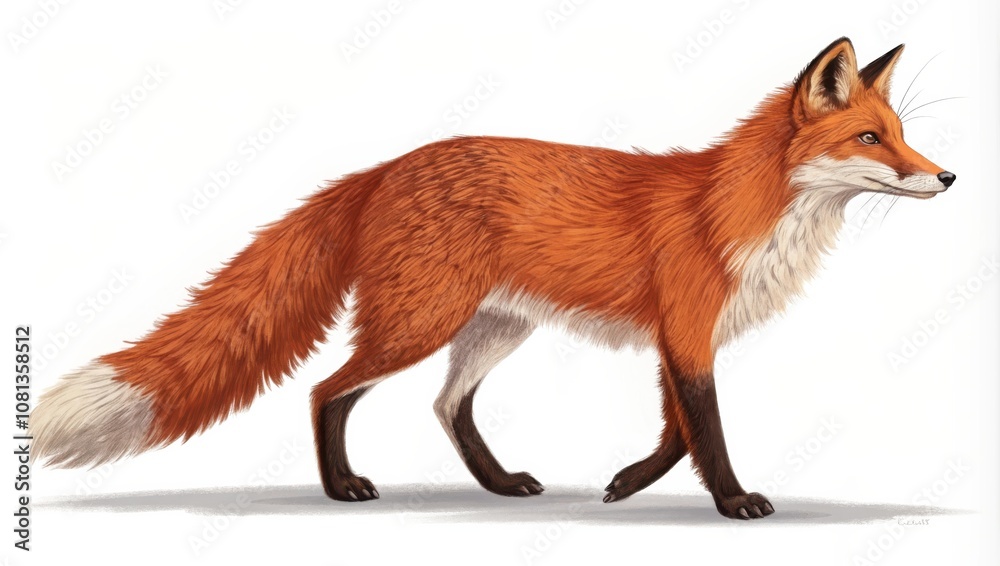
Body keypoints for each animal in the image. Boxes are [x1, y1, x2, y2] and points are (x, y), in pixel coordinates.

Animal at [31, 37, 955, 520]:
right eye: (871, 139)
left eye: (902, 134)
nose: (947, 178)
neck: (742, 209)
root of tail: (381, 169)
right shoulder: (689, 331)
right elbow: (707, 433)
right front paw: (733, 503)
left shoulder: (674, 336)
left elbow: (673, 433)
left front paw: (624, 484)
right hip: (421, 321)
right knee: (329, 390)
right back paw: (342, 488)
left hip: (492, 328)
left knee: (447, 406)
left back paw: (500, 484)